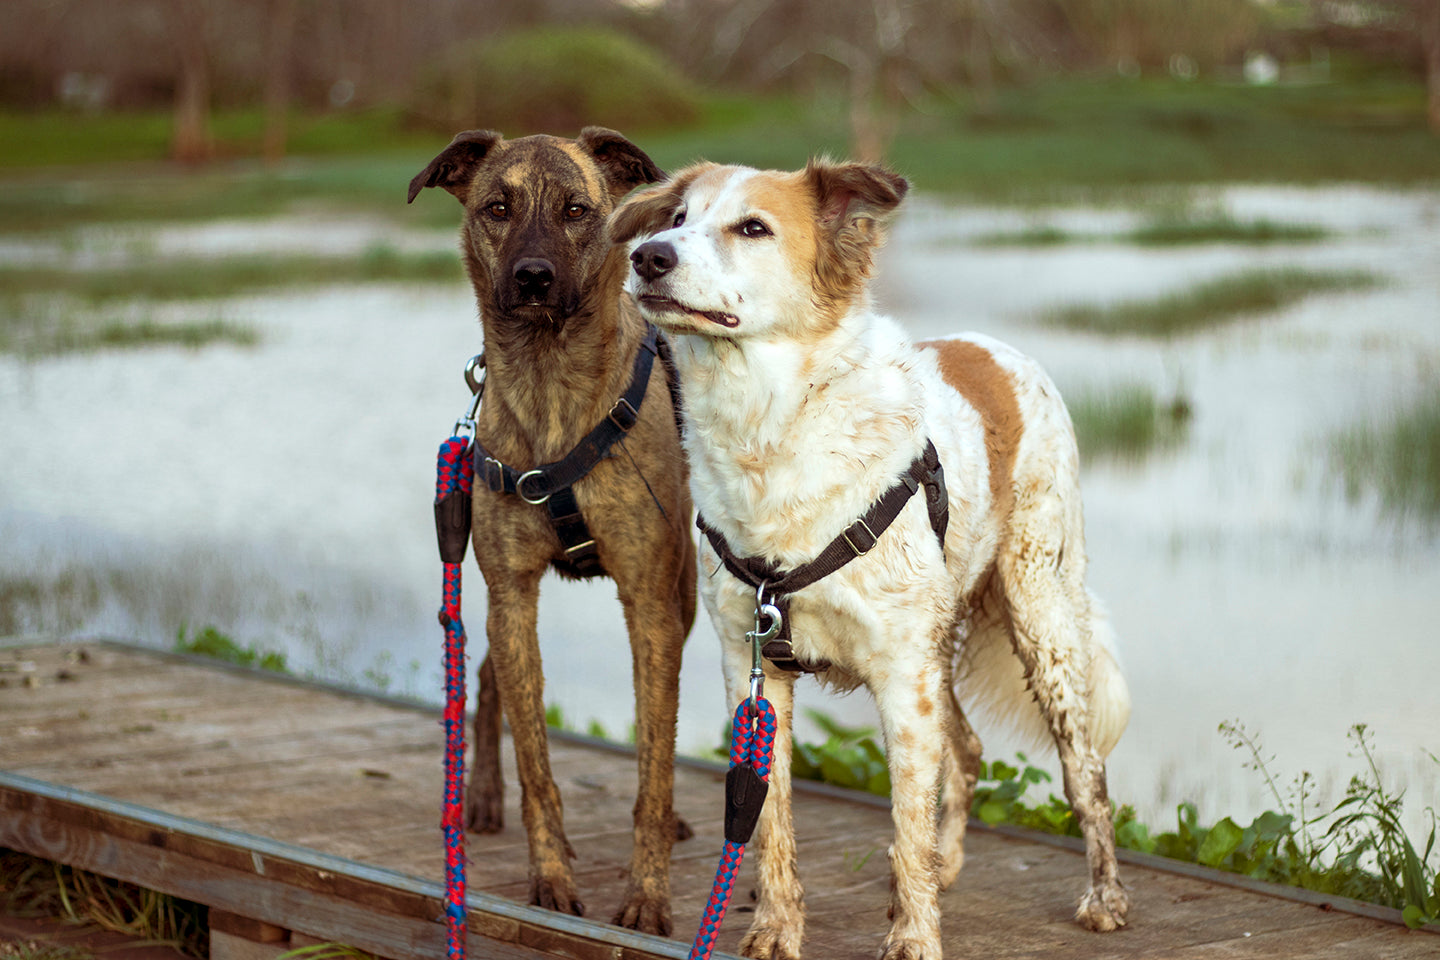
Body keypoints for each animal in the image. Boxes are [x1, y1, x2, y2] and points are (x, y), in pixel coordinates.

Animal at [406, 129, 696, 938]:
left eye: (576, 210)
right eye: (496, 208)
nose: (533, 278)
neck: (548, 384)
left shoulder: (651, 606)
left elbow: (654, 763)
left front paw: (649, 894)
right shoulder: (510, 594)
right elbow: (537, 763)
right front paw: (552, 876)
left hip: (688, 592)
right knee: (486, 680)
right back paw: (479, 795)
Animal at [607, 159, 1134, 960]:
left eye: (753, 227)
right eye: (675, 218)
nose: (648, 258)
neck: (771, 426)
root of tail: (994, 347)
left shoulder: (899, 673)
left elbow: (905, 826)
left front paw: (913, 938)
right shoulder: (751, 668)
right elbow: (772, 824)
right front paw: (775, 932)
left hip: (1039, 619)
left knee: (1086, 775)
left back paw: (1103, 896)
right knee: (967, 747)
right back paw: (950, 867)